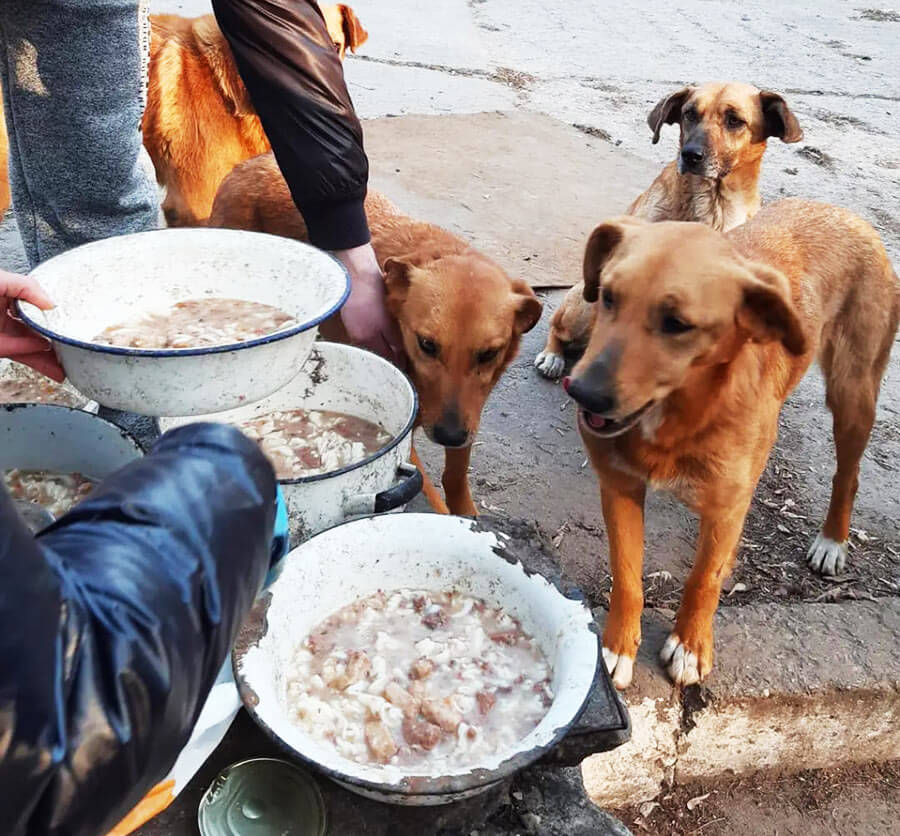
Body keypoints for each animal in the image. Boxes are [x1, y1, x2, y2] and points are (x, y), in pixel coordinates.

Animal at [209, 151, 540, 516]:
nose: (449, 435)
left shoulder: (469, 413)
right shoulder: (409, 440)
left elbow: (455, 476)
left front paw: (466, 513)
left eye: (488, 354)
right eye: (427, 345)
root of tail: (254, 162)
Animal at [536, 80, 800, 380]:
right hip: (583, 304)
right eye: (689, 113)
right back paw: (553, 355)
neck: (712, 204)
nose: (691, 155)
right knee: (558, 327)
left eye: (734, 120)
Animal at [568, 199, 896, 688]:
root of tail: (839, 211)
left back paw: (832, 540)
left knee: (848, 474)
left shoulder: (728, 508)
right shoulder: (620, 488)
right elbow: (626, 577)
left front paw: (690, 645)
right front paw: (617, 647)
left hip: (853, 393)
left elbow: (704, 578)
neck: (680, 414)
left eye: (678, 324)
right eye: (607, 295)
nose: (582, 392)